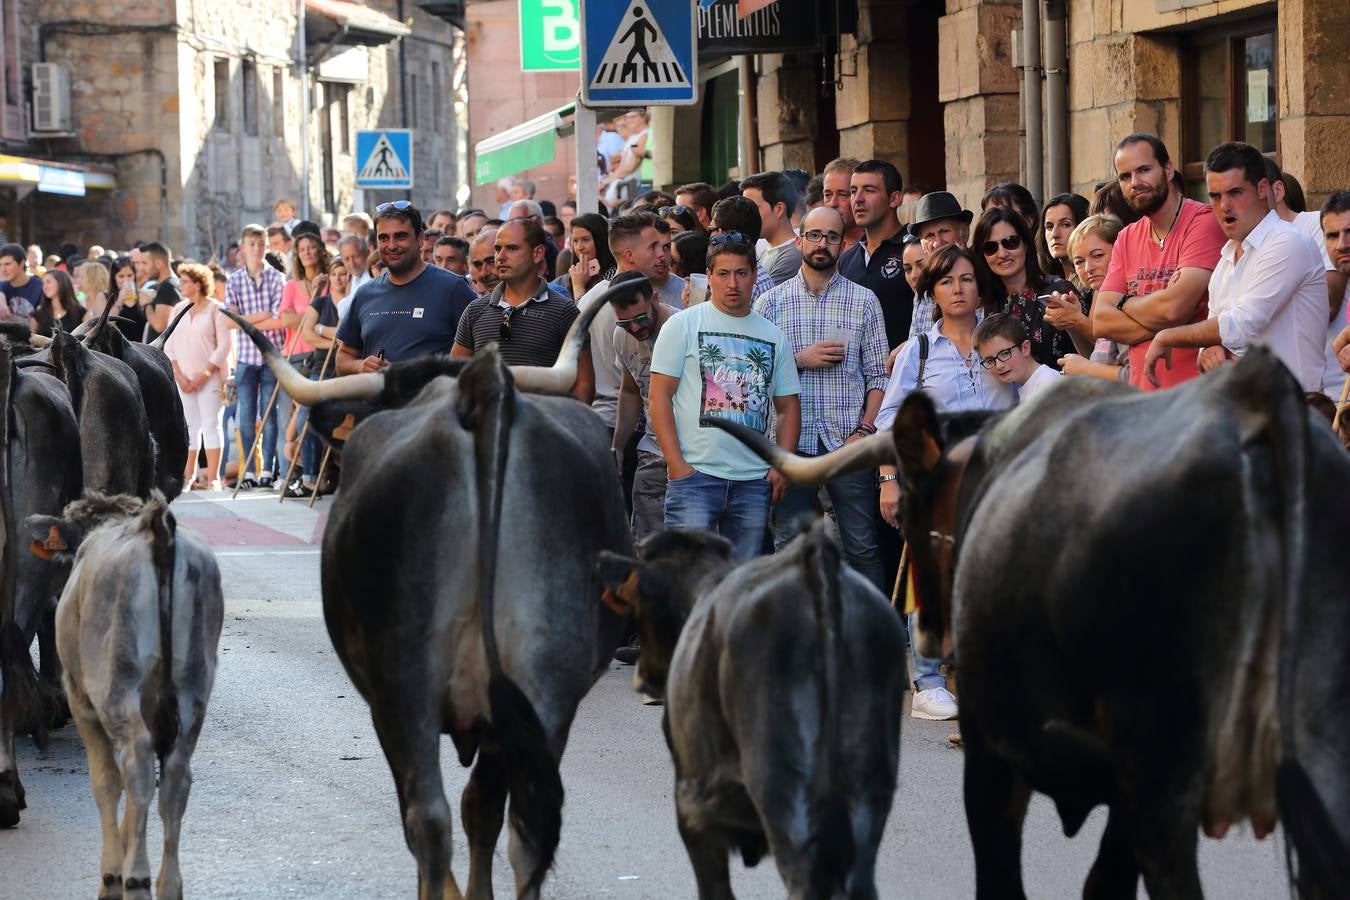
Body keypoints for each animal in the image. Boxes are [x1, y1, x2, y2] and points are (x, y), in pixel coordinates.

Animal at [29, 493, 224, 900]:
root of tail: (156, 529)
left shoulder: (81, 700)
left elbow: (106, 781)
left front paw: (111, 874)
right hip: (194, 684)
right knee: (175, 775)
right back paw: (168, 883)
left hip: (113, 680)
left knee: (134, 763)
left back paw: (134, 876)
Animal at [225, 283, 631, 900]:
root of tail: (479, 393)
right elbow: (484, 810)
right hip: (546, 684)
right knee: (518, 829)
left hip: (404, 686)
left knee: (429, 820)